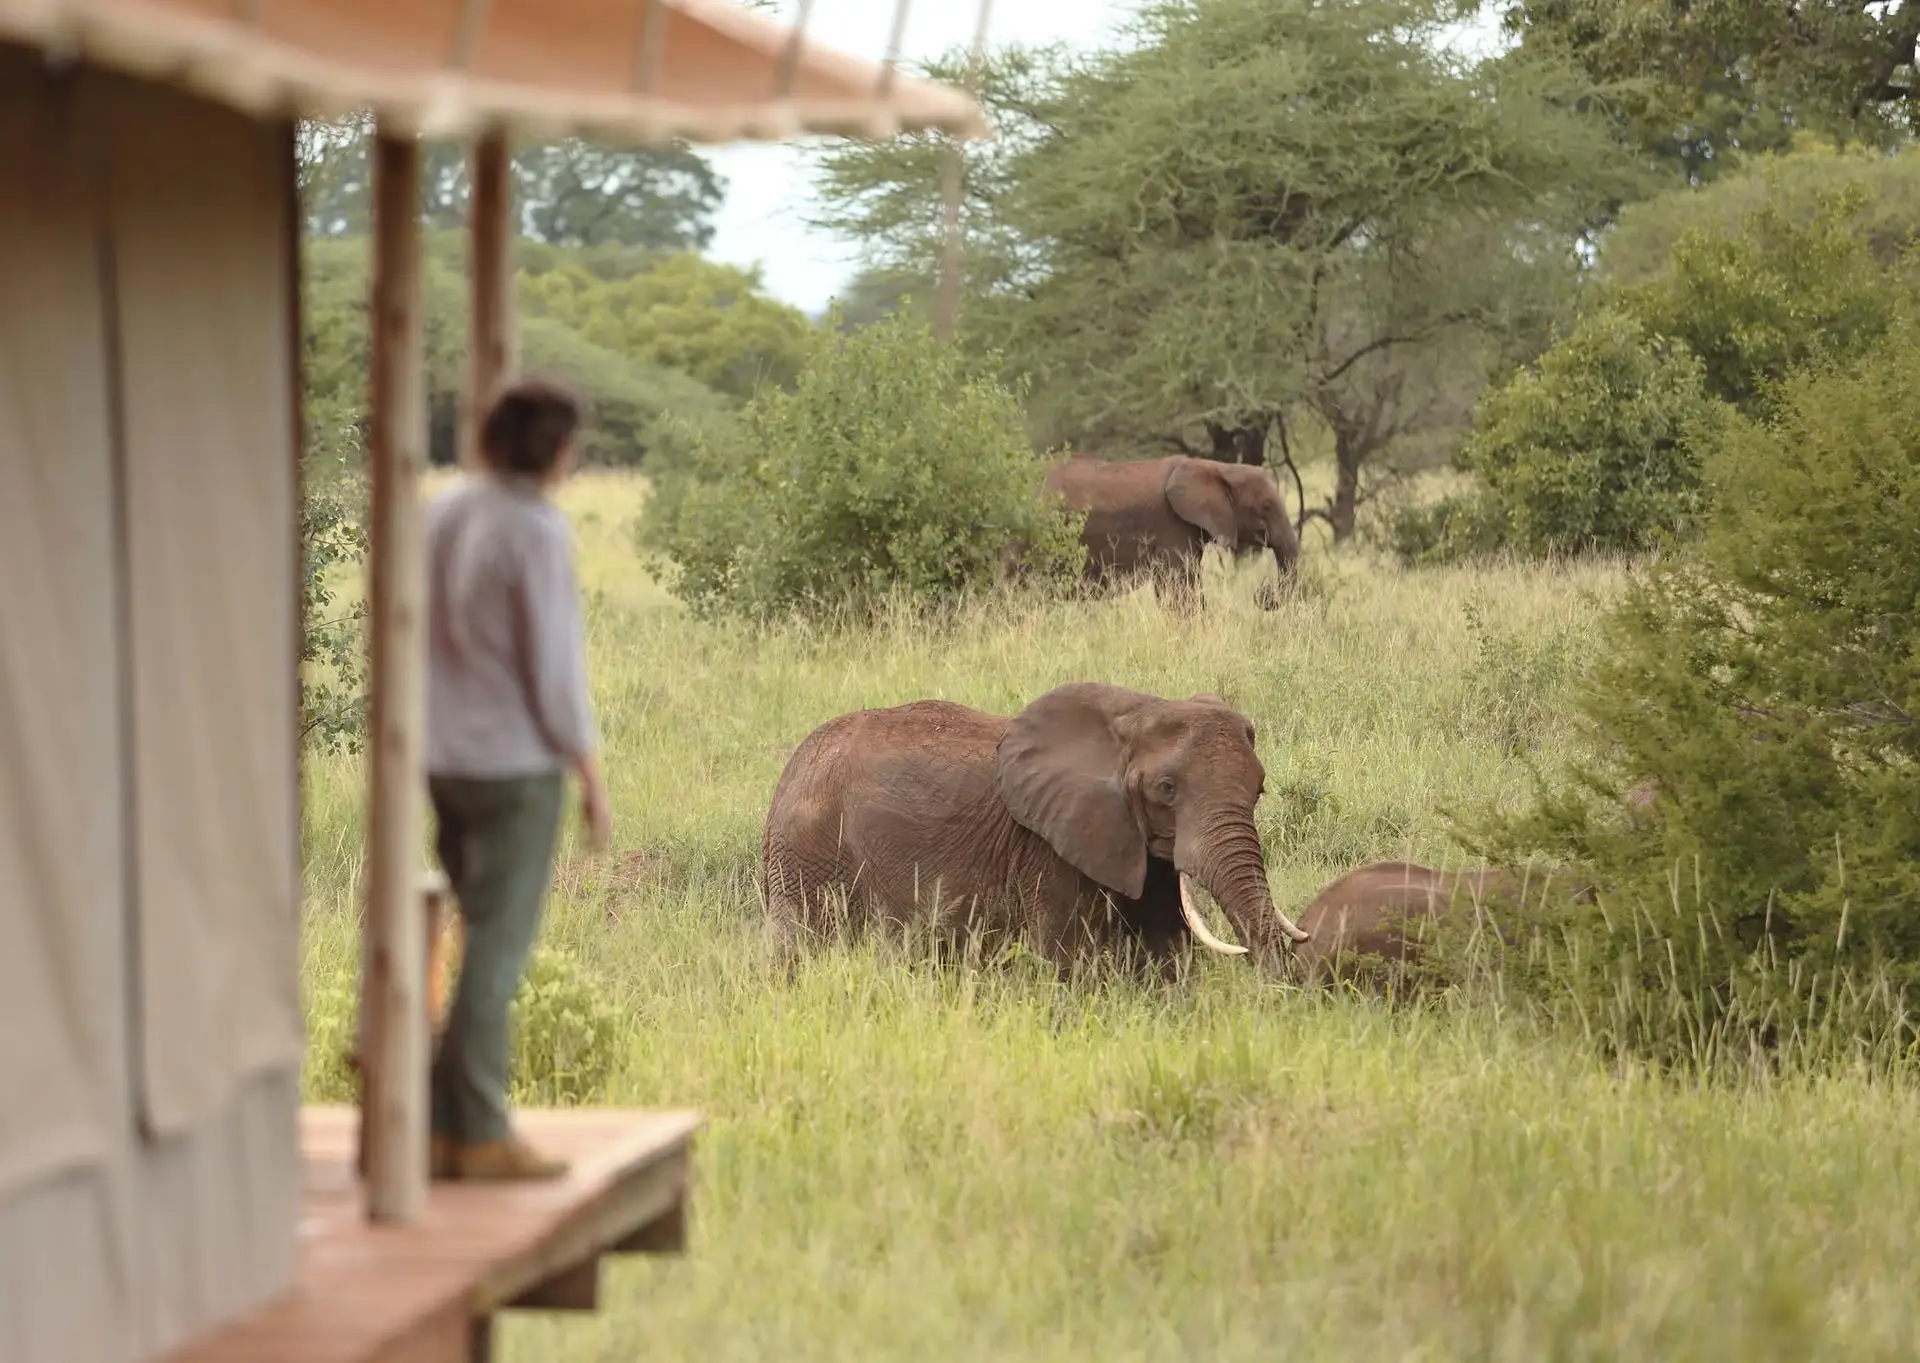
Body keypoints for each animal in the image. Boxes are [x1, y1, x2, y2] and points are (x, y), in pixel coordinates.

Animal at [756, 683, 1313, 982]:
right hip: (808, 851)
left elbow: (1165, 952)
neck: (1139, 713)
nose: (1281, 987)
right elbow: (1065, 955)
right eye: (1167, 789)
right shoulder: (1047, 847)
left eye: (1260, 789)